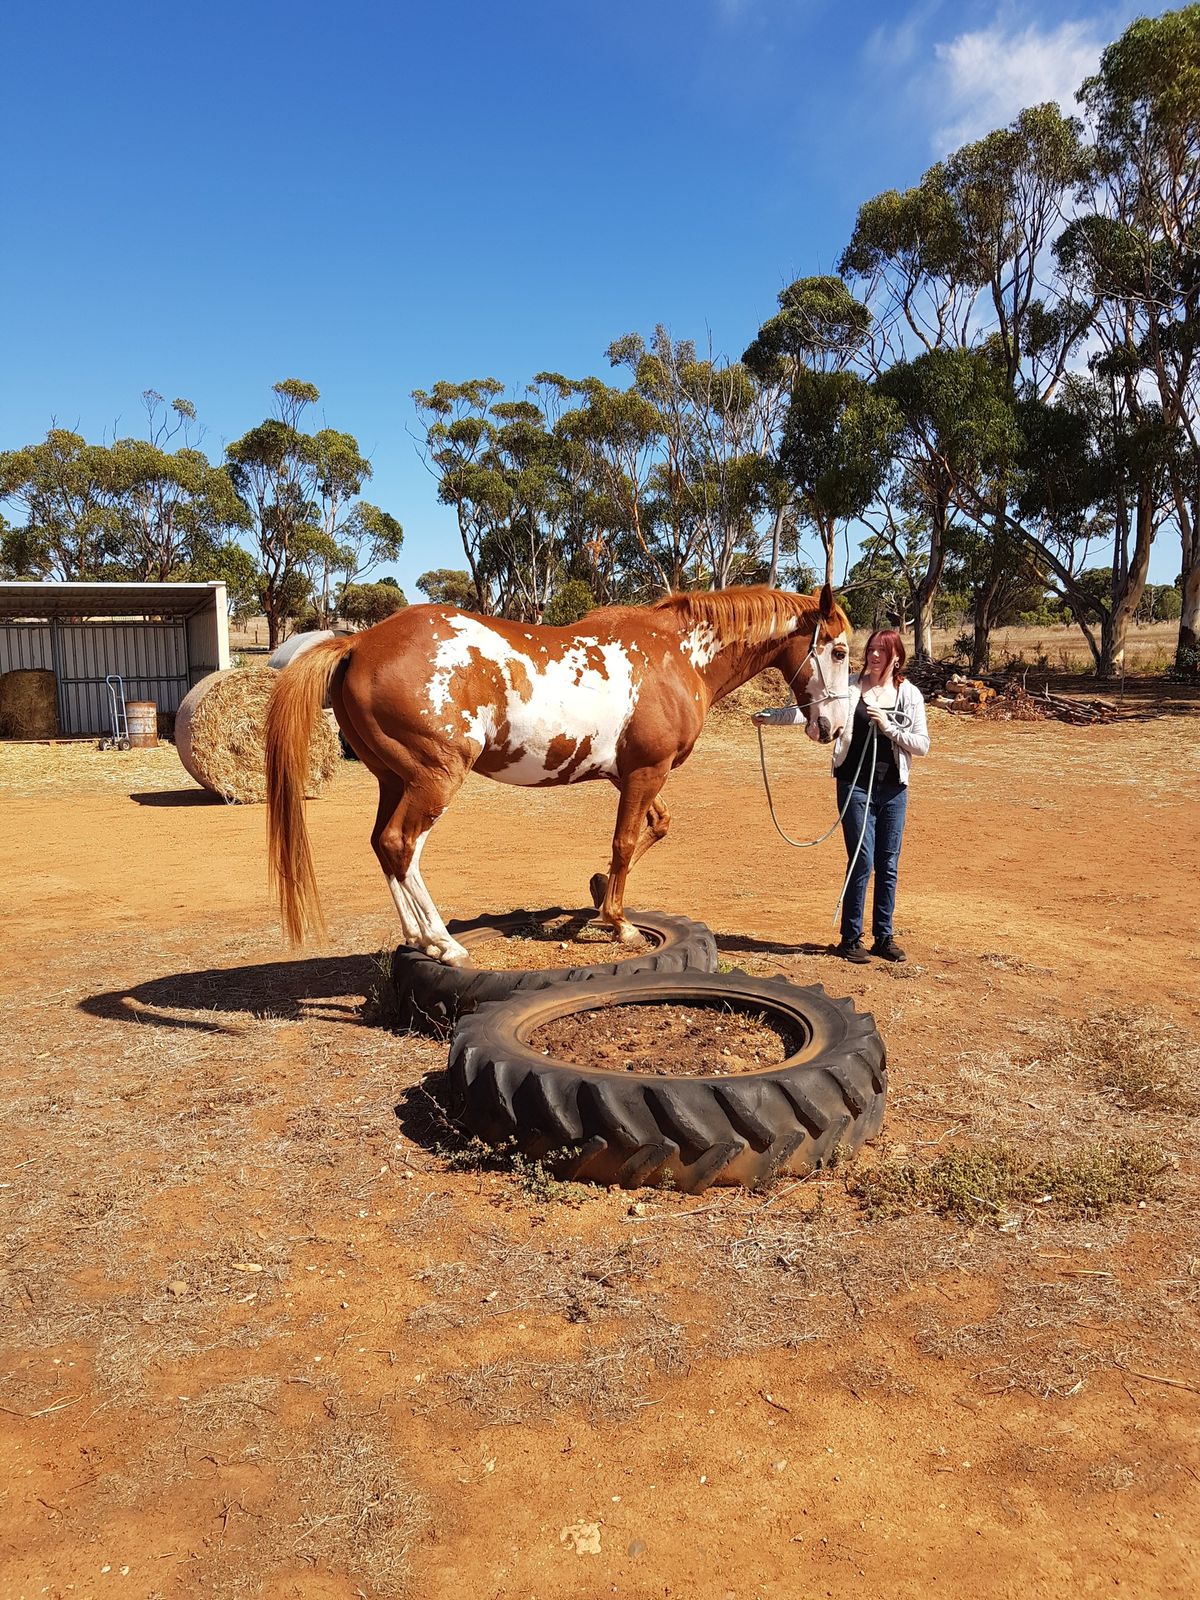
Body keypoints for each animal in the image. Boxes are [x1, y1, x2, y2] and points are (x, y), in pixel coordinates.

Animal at [267, 585, 857, 960]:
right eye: (839, 650)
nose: (831, 726)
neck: (677, 655)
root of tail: (358, 642)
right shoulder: (647, 772)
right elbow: (625, 841)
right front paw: (618, 922)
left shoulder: (632, 774)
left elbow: (655, 828)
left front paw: (598, 893)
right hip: (434, 778)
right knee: (401, 845)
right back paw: (443, 943)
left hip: (394, 779)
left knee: (383, 846)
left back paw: (416, 938)